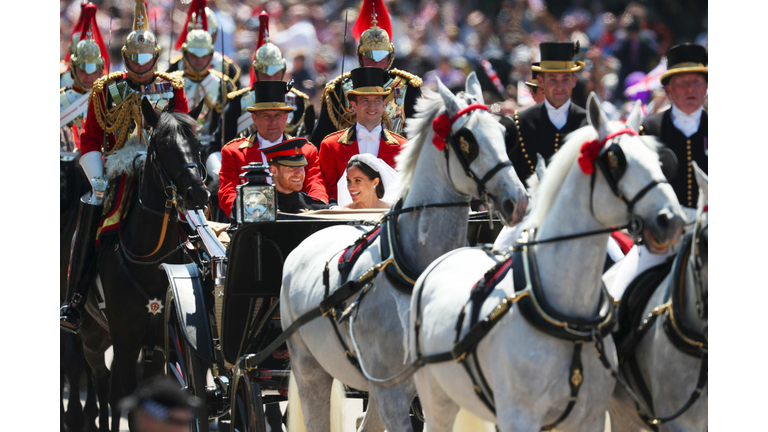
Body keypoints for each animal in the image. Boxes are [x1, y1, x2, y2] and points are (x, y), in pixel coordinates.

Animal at [63, 98, 208, 432]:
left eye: (196, 143)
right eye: (163, 145)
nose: (198, 192)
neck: (151, 260)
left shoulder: (161, 343)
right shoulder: (126, 342)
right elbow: (125, 401)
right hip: (90, 331)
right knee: (99, 378)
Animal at [404, 93, 688, 430]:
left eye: (657, 160)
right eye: (616, 160)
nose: (671, 220)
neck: (566, 316)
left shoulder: (589, 417)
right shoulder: (517, 416)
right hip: (436, 396)